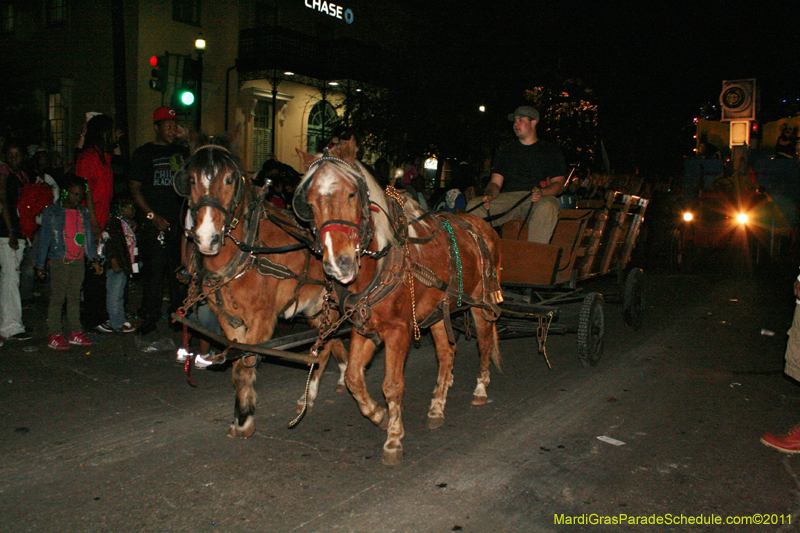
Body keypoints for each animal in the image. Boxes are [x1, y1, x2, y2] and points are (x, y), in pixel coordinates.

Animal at [180, 139, 348, 438]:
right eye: (191, 179)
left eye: (229, 178)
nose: (207, 238)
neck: (248, 252)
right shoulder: (230, 320)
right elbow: (237, 364)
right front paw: (240, 414)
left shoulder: (262, 318)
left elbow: (245, 365)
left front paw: (244, 419)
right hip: (318, 308)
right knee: (328, 343)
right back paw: (326, 384)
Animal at [294, 144, 504, 462]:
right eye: (310, 202)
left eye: (352, 194)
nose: (338, 264)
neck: (382, 263)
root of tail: (481, 224)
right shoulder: (363, 326)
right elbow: (354, 378)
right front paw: (378, 415)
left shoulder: (399, 331)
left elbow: (392, 386)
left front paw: (393, 438)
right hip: (438, 313)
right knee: (446, 354)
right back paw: (437, 406)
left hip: (482, 304)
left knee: (484, 342)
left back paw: (480, 389)